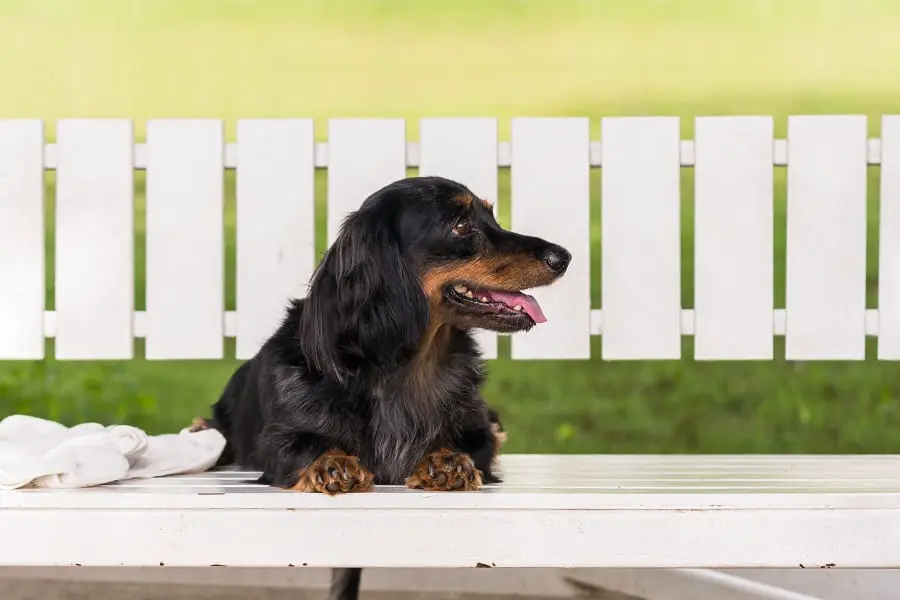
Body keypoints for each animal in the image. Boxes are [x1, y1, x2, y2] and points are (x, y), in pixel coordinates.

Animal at [191, 176, 568, 596]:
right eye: (461, 225)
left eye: (491, 216)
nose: (564, 257)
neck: (402, 369)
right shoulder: (275, 440)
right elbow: (300, 447)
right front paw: (331, 463)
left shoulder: (479, 428)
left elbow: (476, 444)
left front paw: (447, 461)